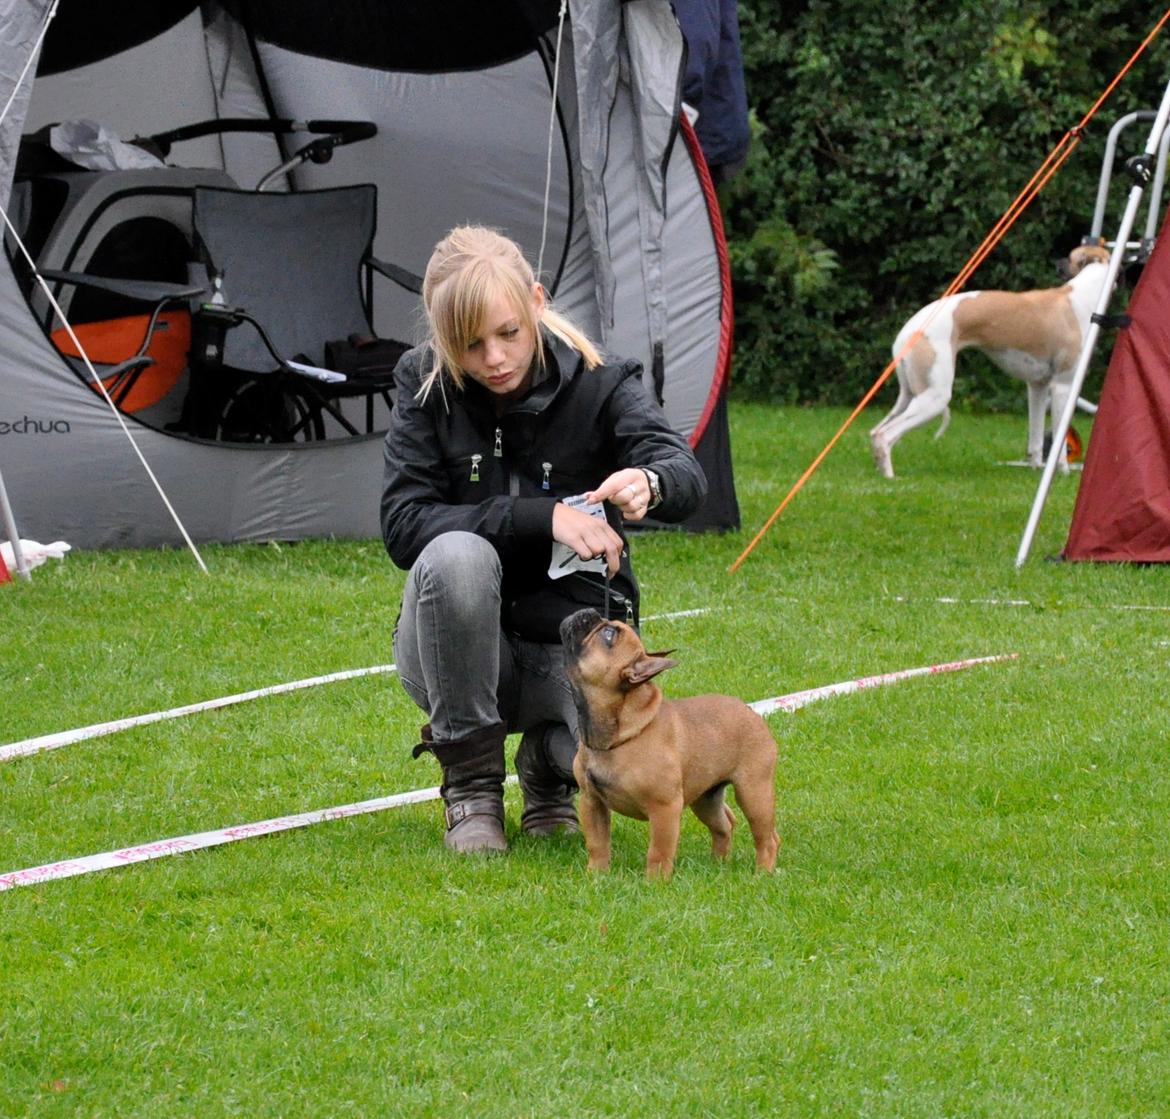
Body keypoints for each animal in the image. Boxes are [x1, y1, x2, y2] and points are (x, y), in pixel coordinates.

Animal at [556, 608, 776, 880]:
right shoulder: (592, 802)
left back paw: (762, 873)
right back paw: (718, 864)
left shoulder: (665, 808)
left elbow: (659, 851)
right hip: (706, 798)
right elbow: (597, 844)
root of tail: (750, 711)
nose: (591, 611)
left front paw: (655, 882)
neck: (617, 736)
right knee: (724, 824)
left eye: (608, 634)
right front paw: (596, 875)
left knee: (767, 837)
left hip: (754, 792)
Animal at [870, 244, 1113, 477]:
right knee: (885, 434)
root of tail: (908, 331)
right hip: (935, 396)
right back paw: (890, 476)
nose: (1057, 263)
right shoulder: (1062, 386)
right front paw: (1062, 471)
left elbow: (1035, 437)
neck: (1082, 294)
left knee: (875, 431)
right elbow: (1059, 443)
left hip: (910, 394)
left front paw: (1035, 467)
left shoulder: (1037, 385)